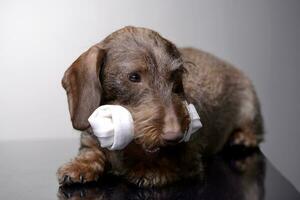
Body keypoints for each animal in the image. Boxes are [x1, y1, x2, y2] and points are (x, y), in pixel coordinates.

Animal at [57, 25, 264, 187]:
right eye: (134, 77)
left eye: (175, 76)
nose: (176, 135)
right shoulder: (91, 142)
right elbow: (92, 153)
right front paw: (80, 166)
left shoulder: (191, 158)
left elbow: (173, 163)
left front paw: (151, 169)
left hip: (249, 106)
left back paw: (242, 138)